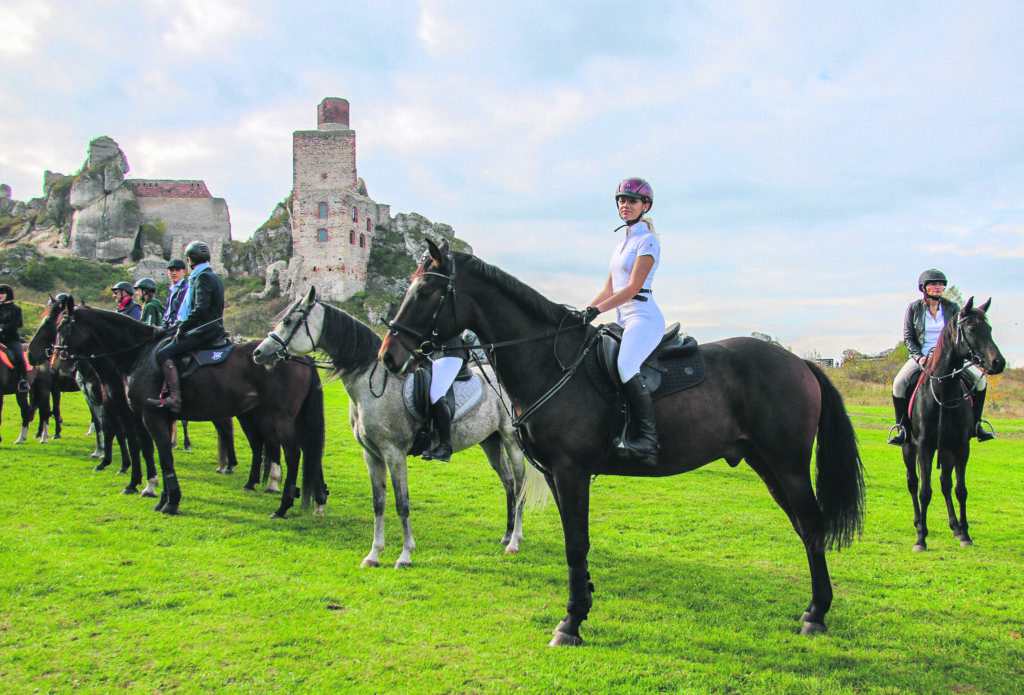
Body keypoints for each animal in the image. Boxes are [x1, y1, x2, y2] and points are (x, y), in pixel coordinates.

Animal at [48, 296, 327, 519]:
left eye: (61, 326)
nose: (57, 364)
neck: (138, 355)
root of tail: (297, 355)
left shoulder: (150, 416)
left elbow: (162, 455)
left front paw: (168, 500)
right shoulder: (145, 417)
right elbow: (150, 453)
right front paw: (155, 492)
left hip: (279, 418)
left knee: (292, 454)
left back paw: (283, 504)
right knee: (302, 450)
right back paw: (316, 497)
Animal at [380, 240, 868, 646]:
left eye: (426, 292)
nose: (389, 356)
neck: (550, 363)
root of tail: (800, 363)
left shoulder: (572, 471)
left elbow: (577, 543)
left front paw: (571, 622)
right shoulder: (555, 475)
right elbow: (573, 541)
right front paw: (583, 600)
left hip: (787, 465)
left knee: (812, 526)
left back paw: (817, 615)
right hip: (767, 465)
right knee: (805, 528)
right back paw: (813, 610)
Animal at [901, 296, 1003, 552]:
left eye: (990, 329)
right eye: (972, 329)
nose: (998, 362)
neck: (943, 391)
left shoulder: (960, 447)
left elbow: (960, 489)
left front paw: (965, 534)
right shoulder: (924, 446)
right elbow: (924, 491)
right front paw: (921, 539)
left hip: (946, 451)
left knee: (946, 483)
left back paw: (955, 527)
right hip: (909, 448)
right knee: (913, 482)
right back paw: (918, 523)